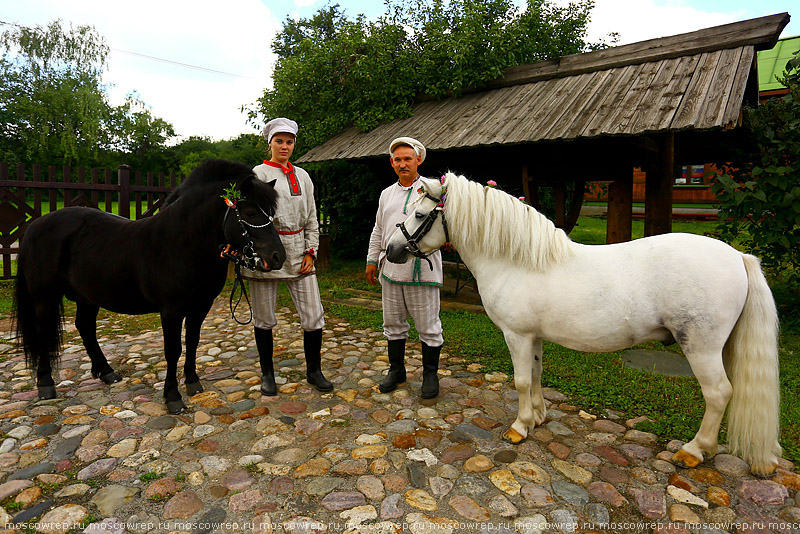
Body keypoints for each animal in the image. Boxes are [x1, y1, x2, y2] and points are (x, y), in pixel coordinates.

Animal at [14, 159, 286, 414]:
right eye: (250, 212)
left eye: (270, 212)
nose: (278, 257)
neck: (182, 242)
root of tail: (34, 227)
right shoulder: (171, 311)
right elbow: (173, 350)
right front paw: (172, 397)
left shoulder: (200, 307)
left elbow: (193, 341)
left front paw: (192, 382)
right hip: (45, 297)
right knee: (43, 332)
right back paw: (46, 384)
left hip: (87, 296)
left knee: (85, 327)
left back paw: (106, 372)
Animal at [388, 173, 780, 478]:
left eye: (420, 213)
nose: (392, 251)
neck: (516, 261)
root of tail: (737, 256)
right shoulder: (534, 337)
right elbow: (536, 374)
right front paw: (538, 417)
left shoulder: (517, 335)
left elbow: (520, 380)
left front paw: (519, 428)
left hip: (700, 346)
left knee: (718, 393)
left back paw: (694, 450)